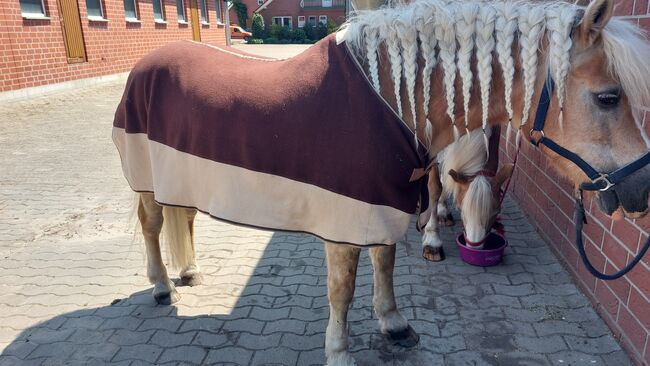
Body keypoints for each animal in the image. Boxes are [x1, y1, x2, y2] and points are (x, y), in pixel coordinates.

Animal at [111, 0, 648, 364]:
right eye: (608, 97)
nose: (640, 191)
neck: (390, 100)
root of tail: (144, 66)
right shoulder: (345, 218)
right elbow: (342, 289)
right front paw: (339, 352)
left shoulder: (384, 203)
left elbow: (385, 264)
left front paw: (394, 324)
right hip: (147, 182)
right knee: (153, 226)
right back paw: (162, 286)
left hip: (180, 177)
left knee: (184, 219)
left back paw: (188, 272)